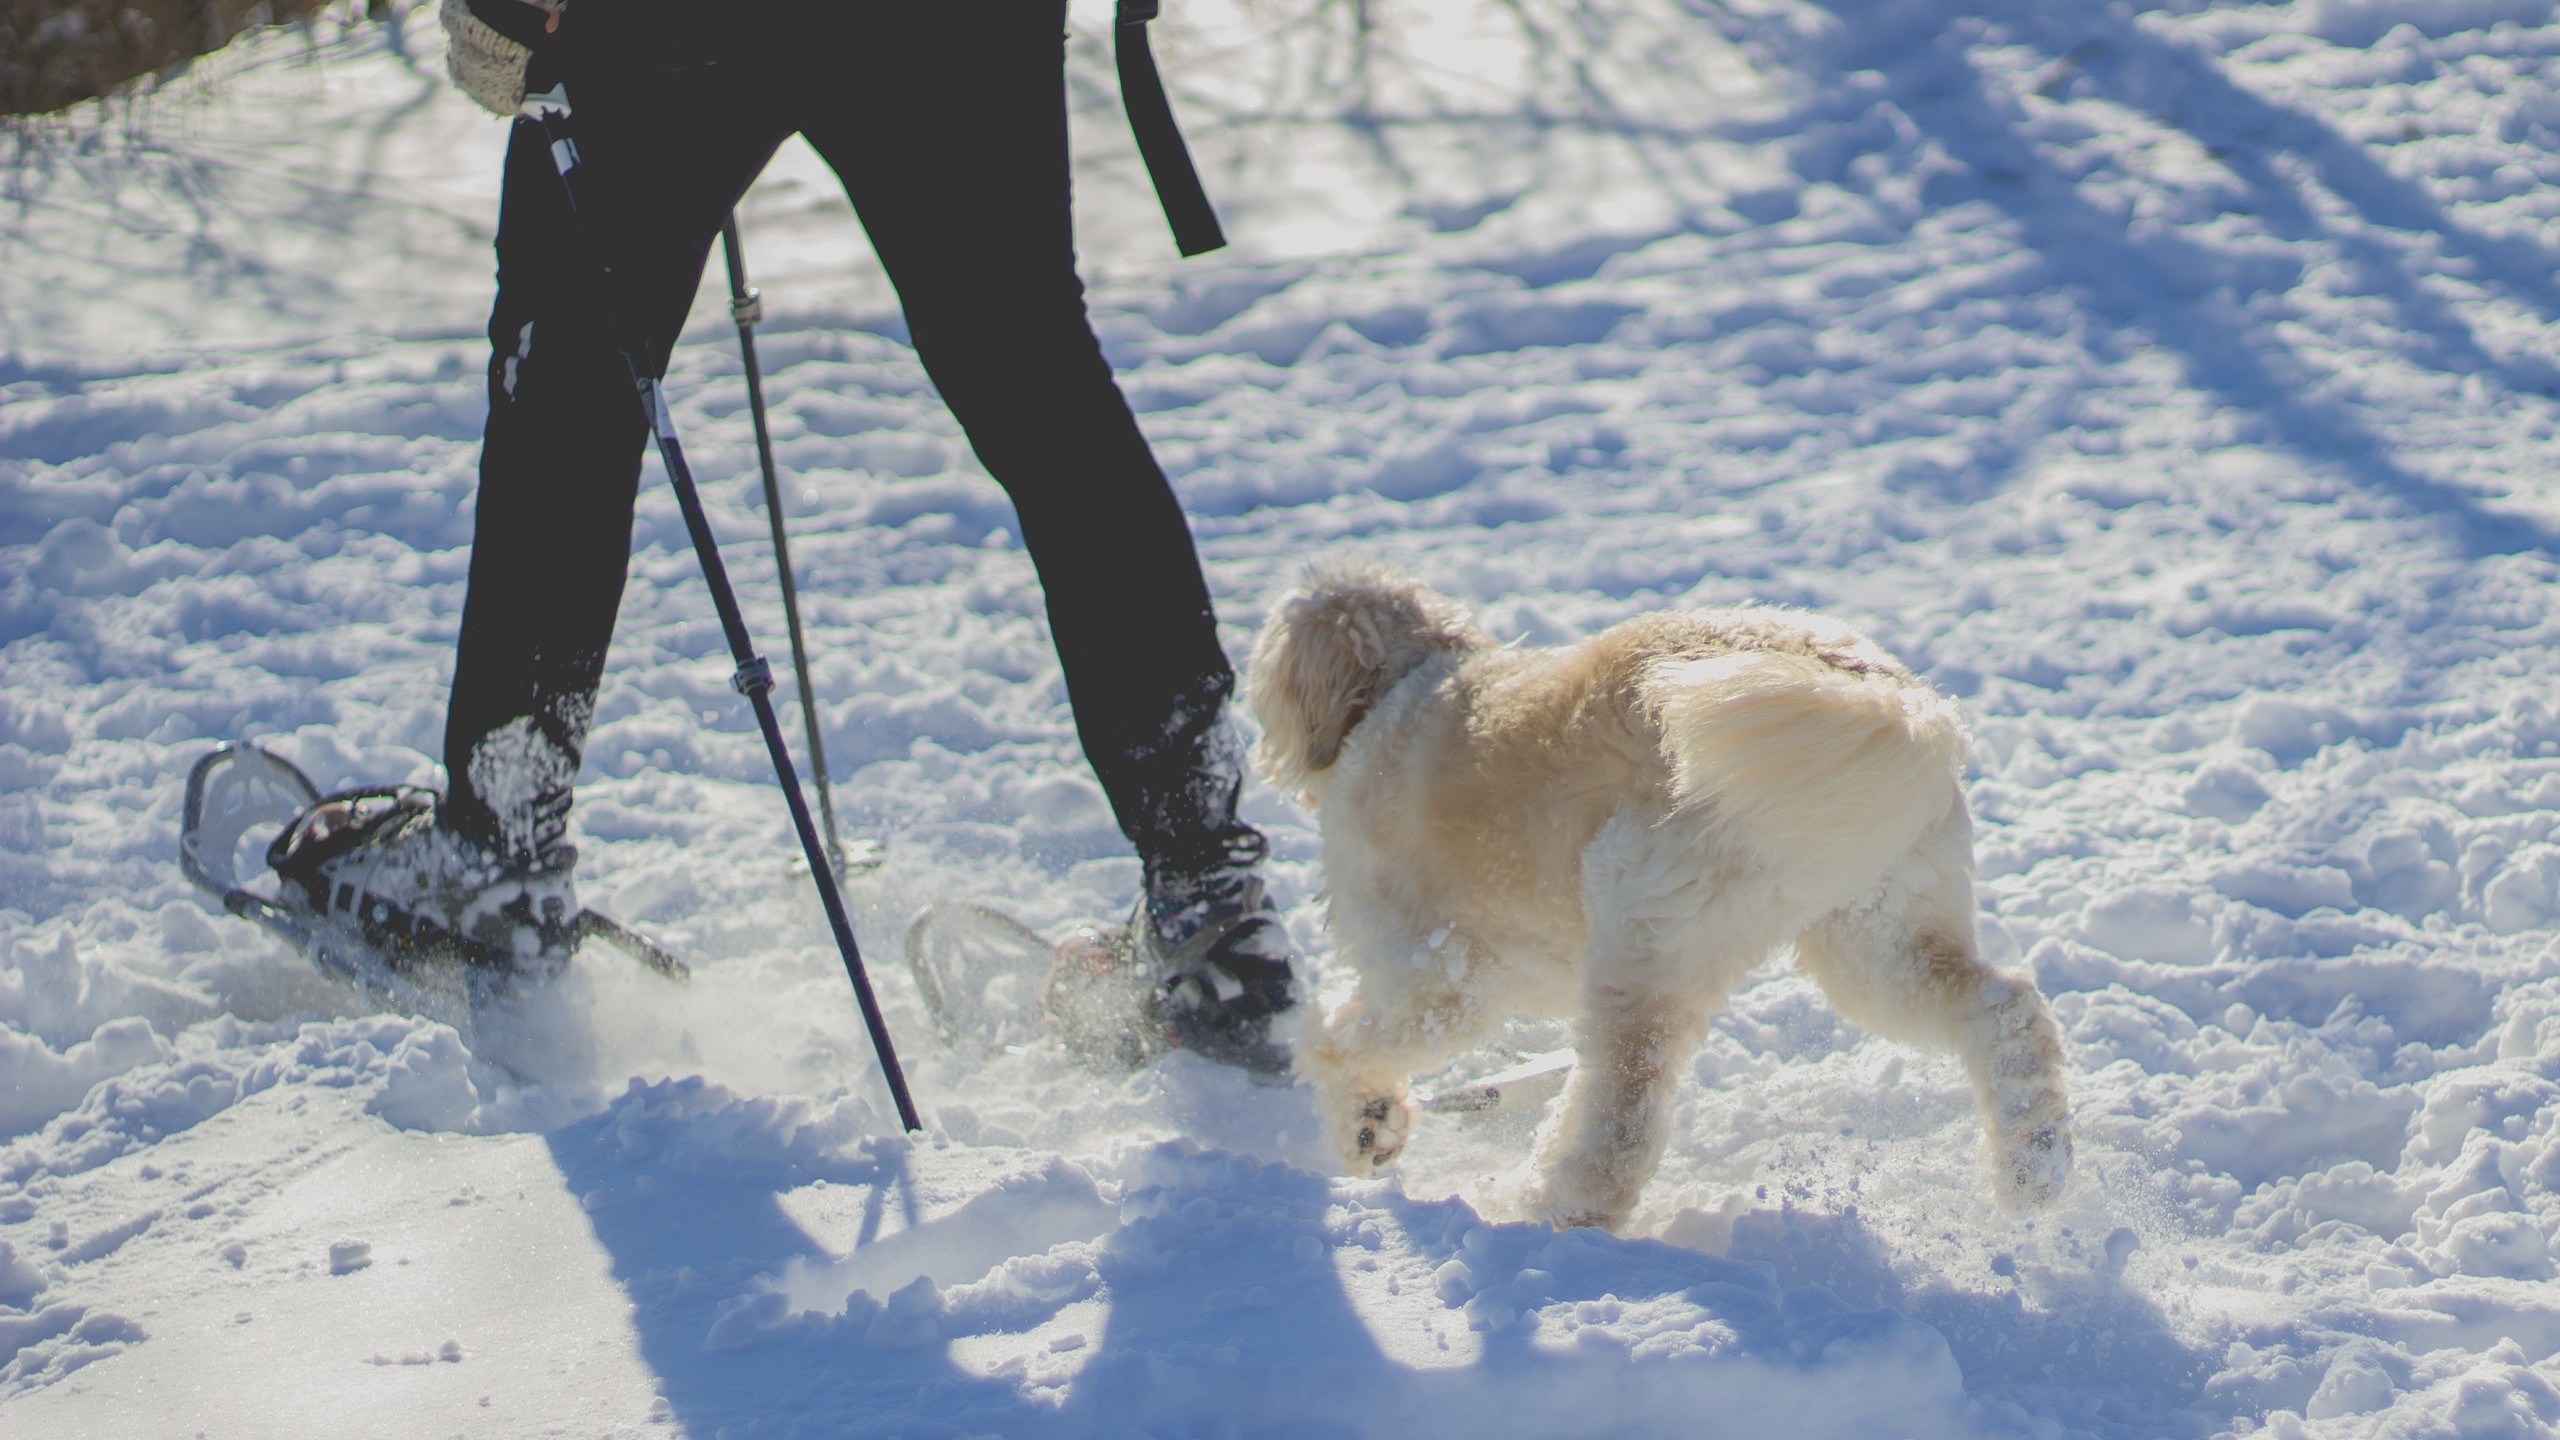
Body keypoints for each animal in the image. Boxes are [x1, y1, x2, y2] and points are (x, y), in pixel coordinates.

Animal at [1249, 558, 2068, 1219]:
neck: (1404, 686)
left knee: (1621, 1122)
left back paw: (1543, 1207)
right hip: (1876, 936)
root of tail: (1889, 699)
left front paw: (1364, 1120)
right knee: (2005, 1011)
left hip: (1643, 937)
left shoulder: (1436, 979)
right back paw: (2033, 1171)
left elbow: (1336, 1044)